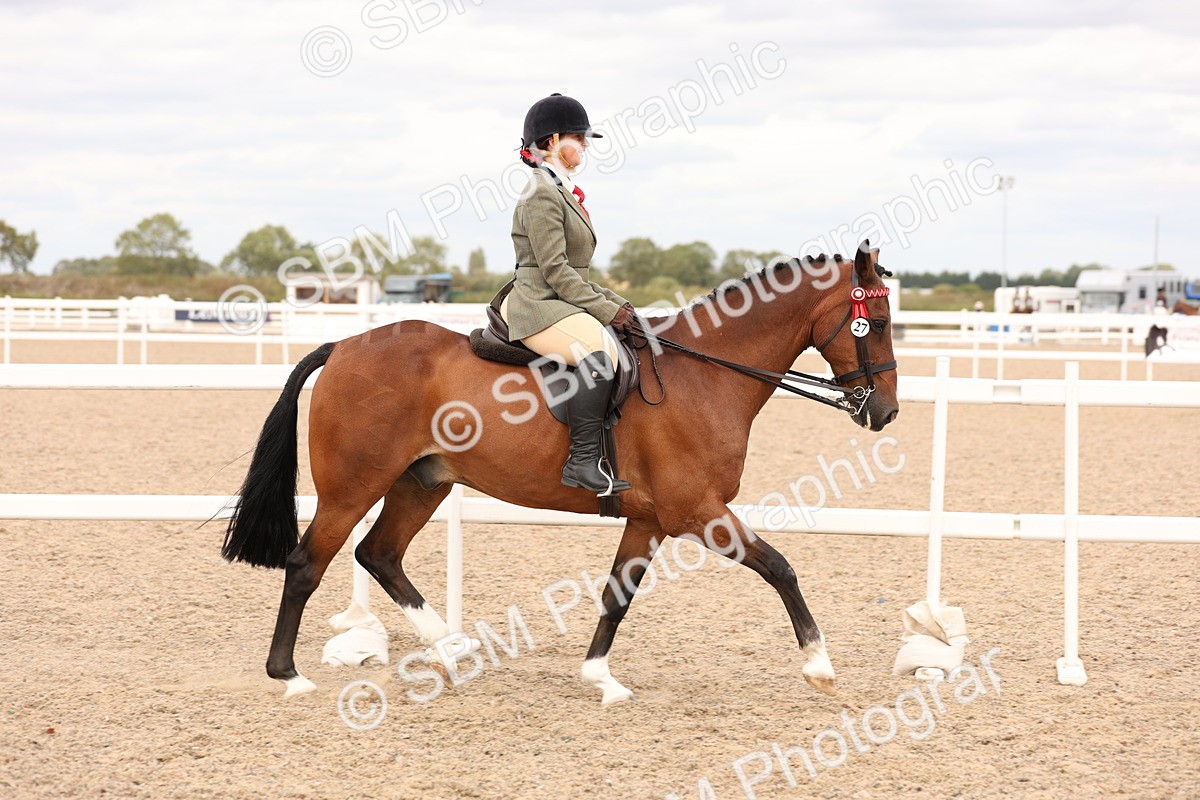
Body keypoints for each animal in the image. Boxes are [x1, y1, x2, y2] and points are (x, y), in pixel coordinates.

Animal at [222, 242, 900, 703]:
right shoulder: (696, 512)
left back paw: (453, 650)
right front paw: (818, 663)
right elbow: (780, 567)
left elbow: (617, 595)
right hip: (353, 486)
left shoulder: (650, 519)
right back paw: (289, 675)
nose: (885, 412)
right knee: (308, 564)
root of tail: (342, 346)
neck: (707, 376)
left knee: (379, 555)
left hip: (423, 482)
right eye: (880, 323)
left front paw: (600, 677)